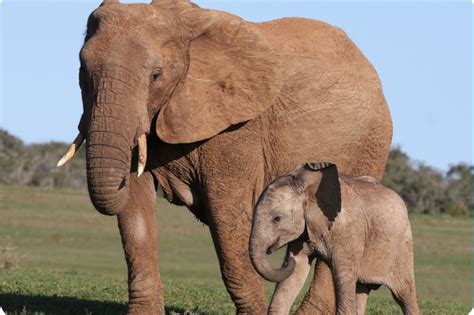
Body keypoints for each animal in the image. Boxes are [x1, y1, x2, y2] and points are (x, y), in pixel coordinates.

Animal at [59, 1, 392, 314]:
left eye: (156, 75)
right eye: (82, 72)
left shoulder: (237, 127)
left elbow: (227, 215)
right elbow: (135, 211)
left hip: (369, 147)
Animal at [248, 163, 418, 315]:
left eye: (277, 219)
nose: (286, 260)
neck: (308, 185)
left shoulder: (347, 231)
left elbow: (342, 276)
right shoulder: (305, 230)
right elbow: (297, 270)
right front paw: (295, 262)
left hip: (403, 246)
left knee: (404, 294)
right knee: (361, 289)